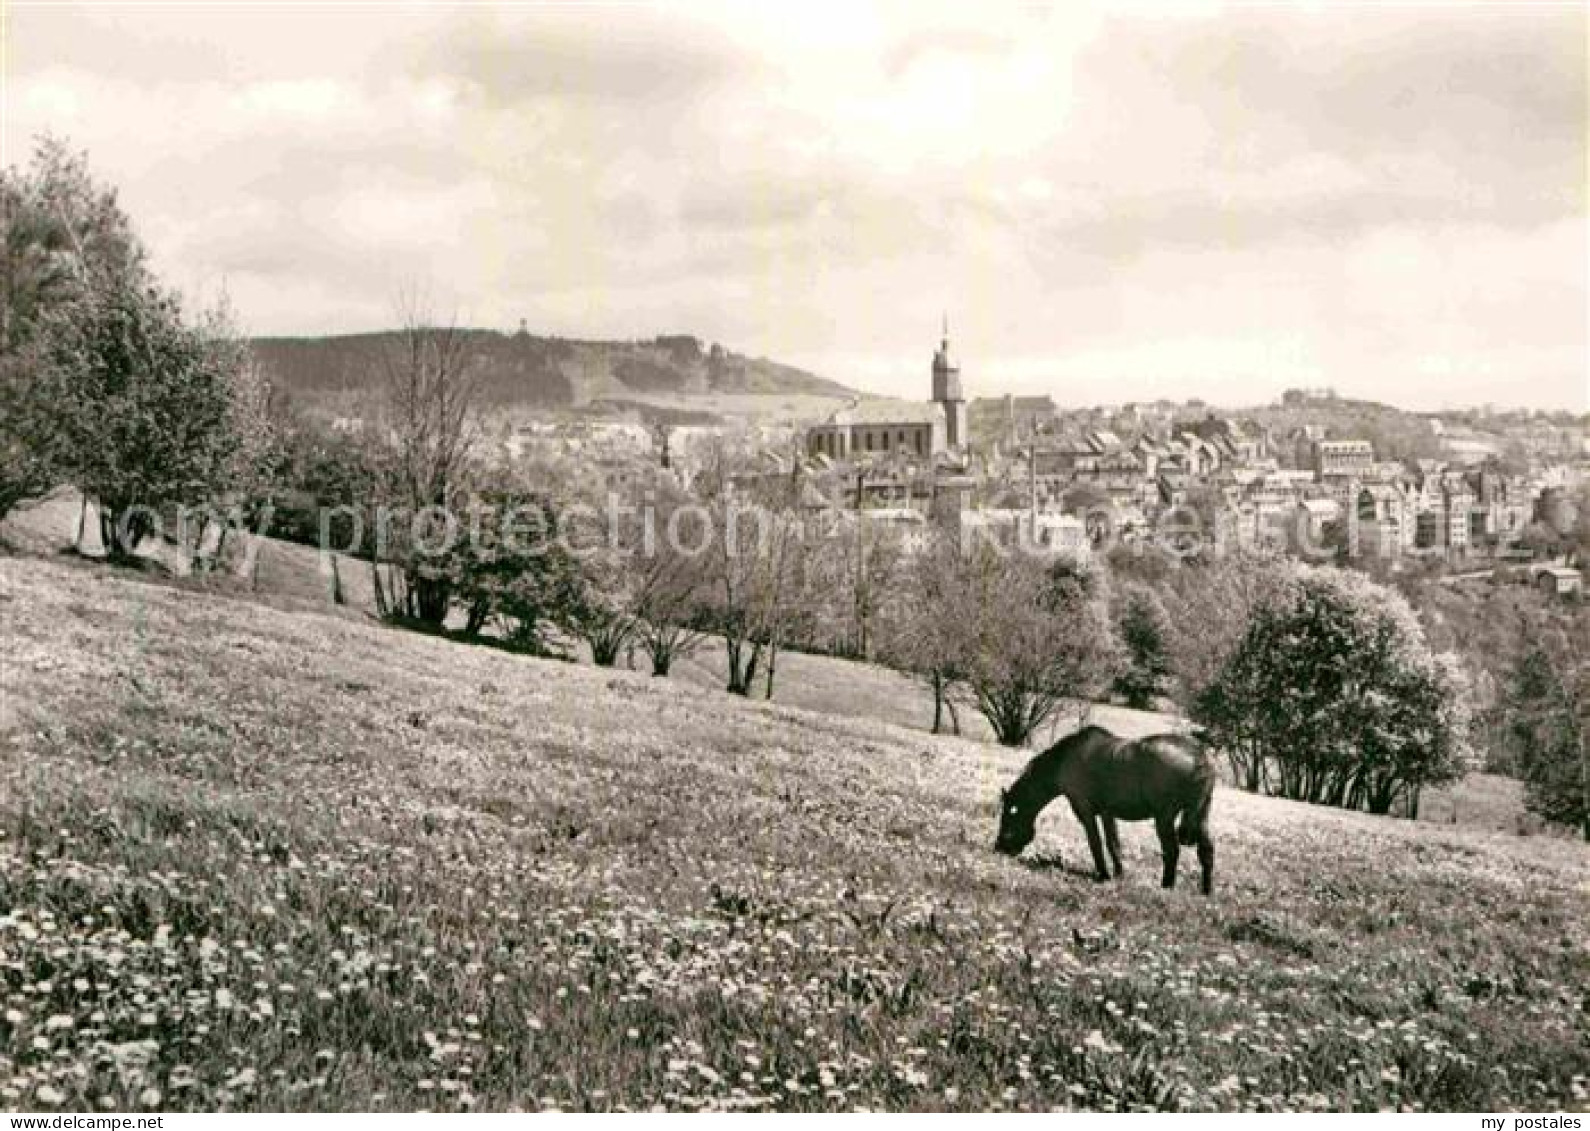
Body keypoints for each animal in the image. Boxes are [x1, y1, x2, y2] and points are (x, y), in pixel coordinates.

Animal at [992, 728, 1214, 897]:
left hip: (1164, 818)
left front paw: (1103, 874)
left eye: (1007, 820)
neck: (1065, 760)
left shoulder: (1085, 810)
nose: (998, 848)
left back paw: (1166, 887)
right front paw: (1119, 874)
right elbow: (1113, 843)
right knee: (1207, 851)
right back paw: (1206, 892)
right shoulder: (1108, 812)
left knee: (1172, 851)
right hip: (1201, 817)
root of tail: (1199, 753)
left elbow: (1095, 843)